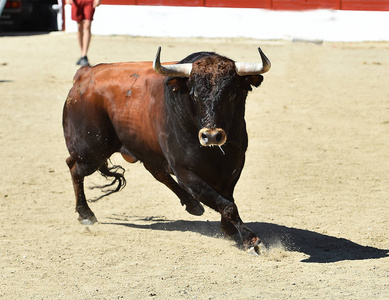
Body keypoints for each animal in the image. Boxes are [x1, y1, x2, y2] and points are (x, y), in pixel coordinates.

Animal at [63, 46, 270, 253]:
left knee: (156, 172)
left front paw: (229, 230)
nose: (211, 136)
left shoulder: (234, 165)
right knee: (74, 168)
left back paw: (193, 205)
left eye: (232, 95)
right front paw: (251, 240)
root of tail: (84, 74)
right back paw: (85, 214)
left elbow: (228, 199)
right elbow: (227, 205)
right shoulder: (185, 172)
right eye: (194, 94)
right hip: (91, 151)